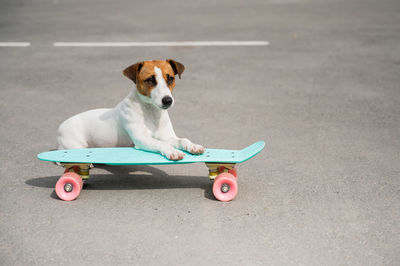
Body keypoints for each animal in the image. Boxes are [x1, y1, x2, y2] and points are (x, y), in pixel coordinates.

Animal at [56, 59, 205, 160]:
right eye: (150, 79)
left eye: (171, 78)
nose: (168, 100)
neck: (151, 112)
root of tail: (60, 127)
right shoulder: (142, 139)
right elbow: (160, 143)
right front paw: (172, 151)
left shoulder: (167, 136)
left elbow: (182, 140)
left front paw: (193, 146)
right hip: (74, 144)